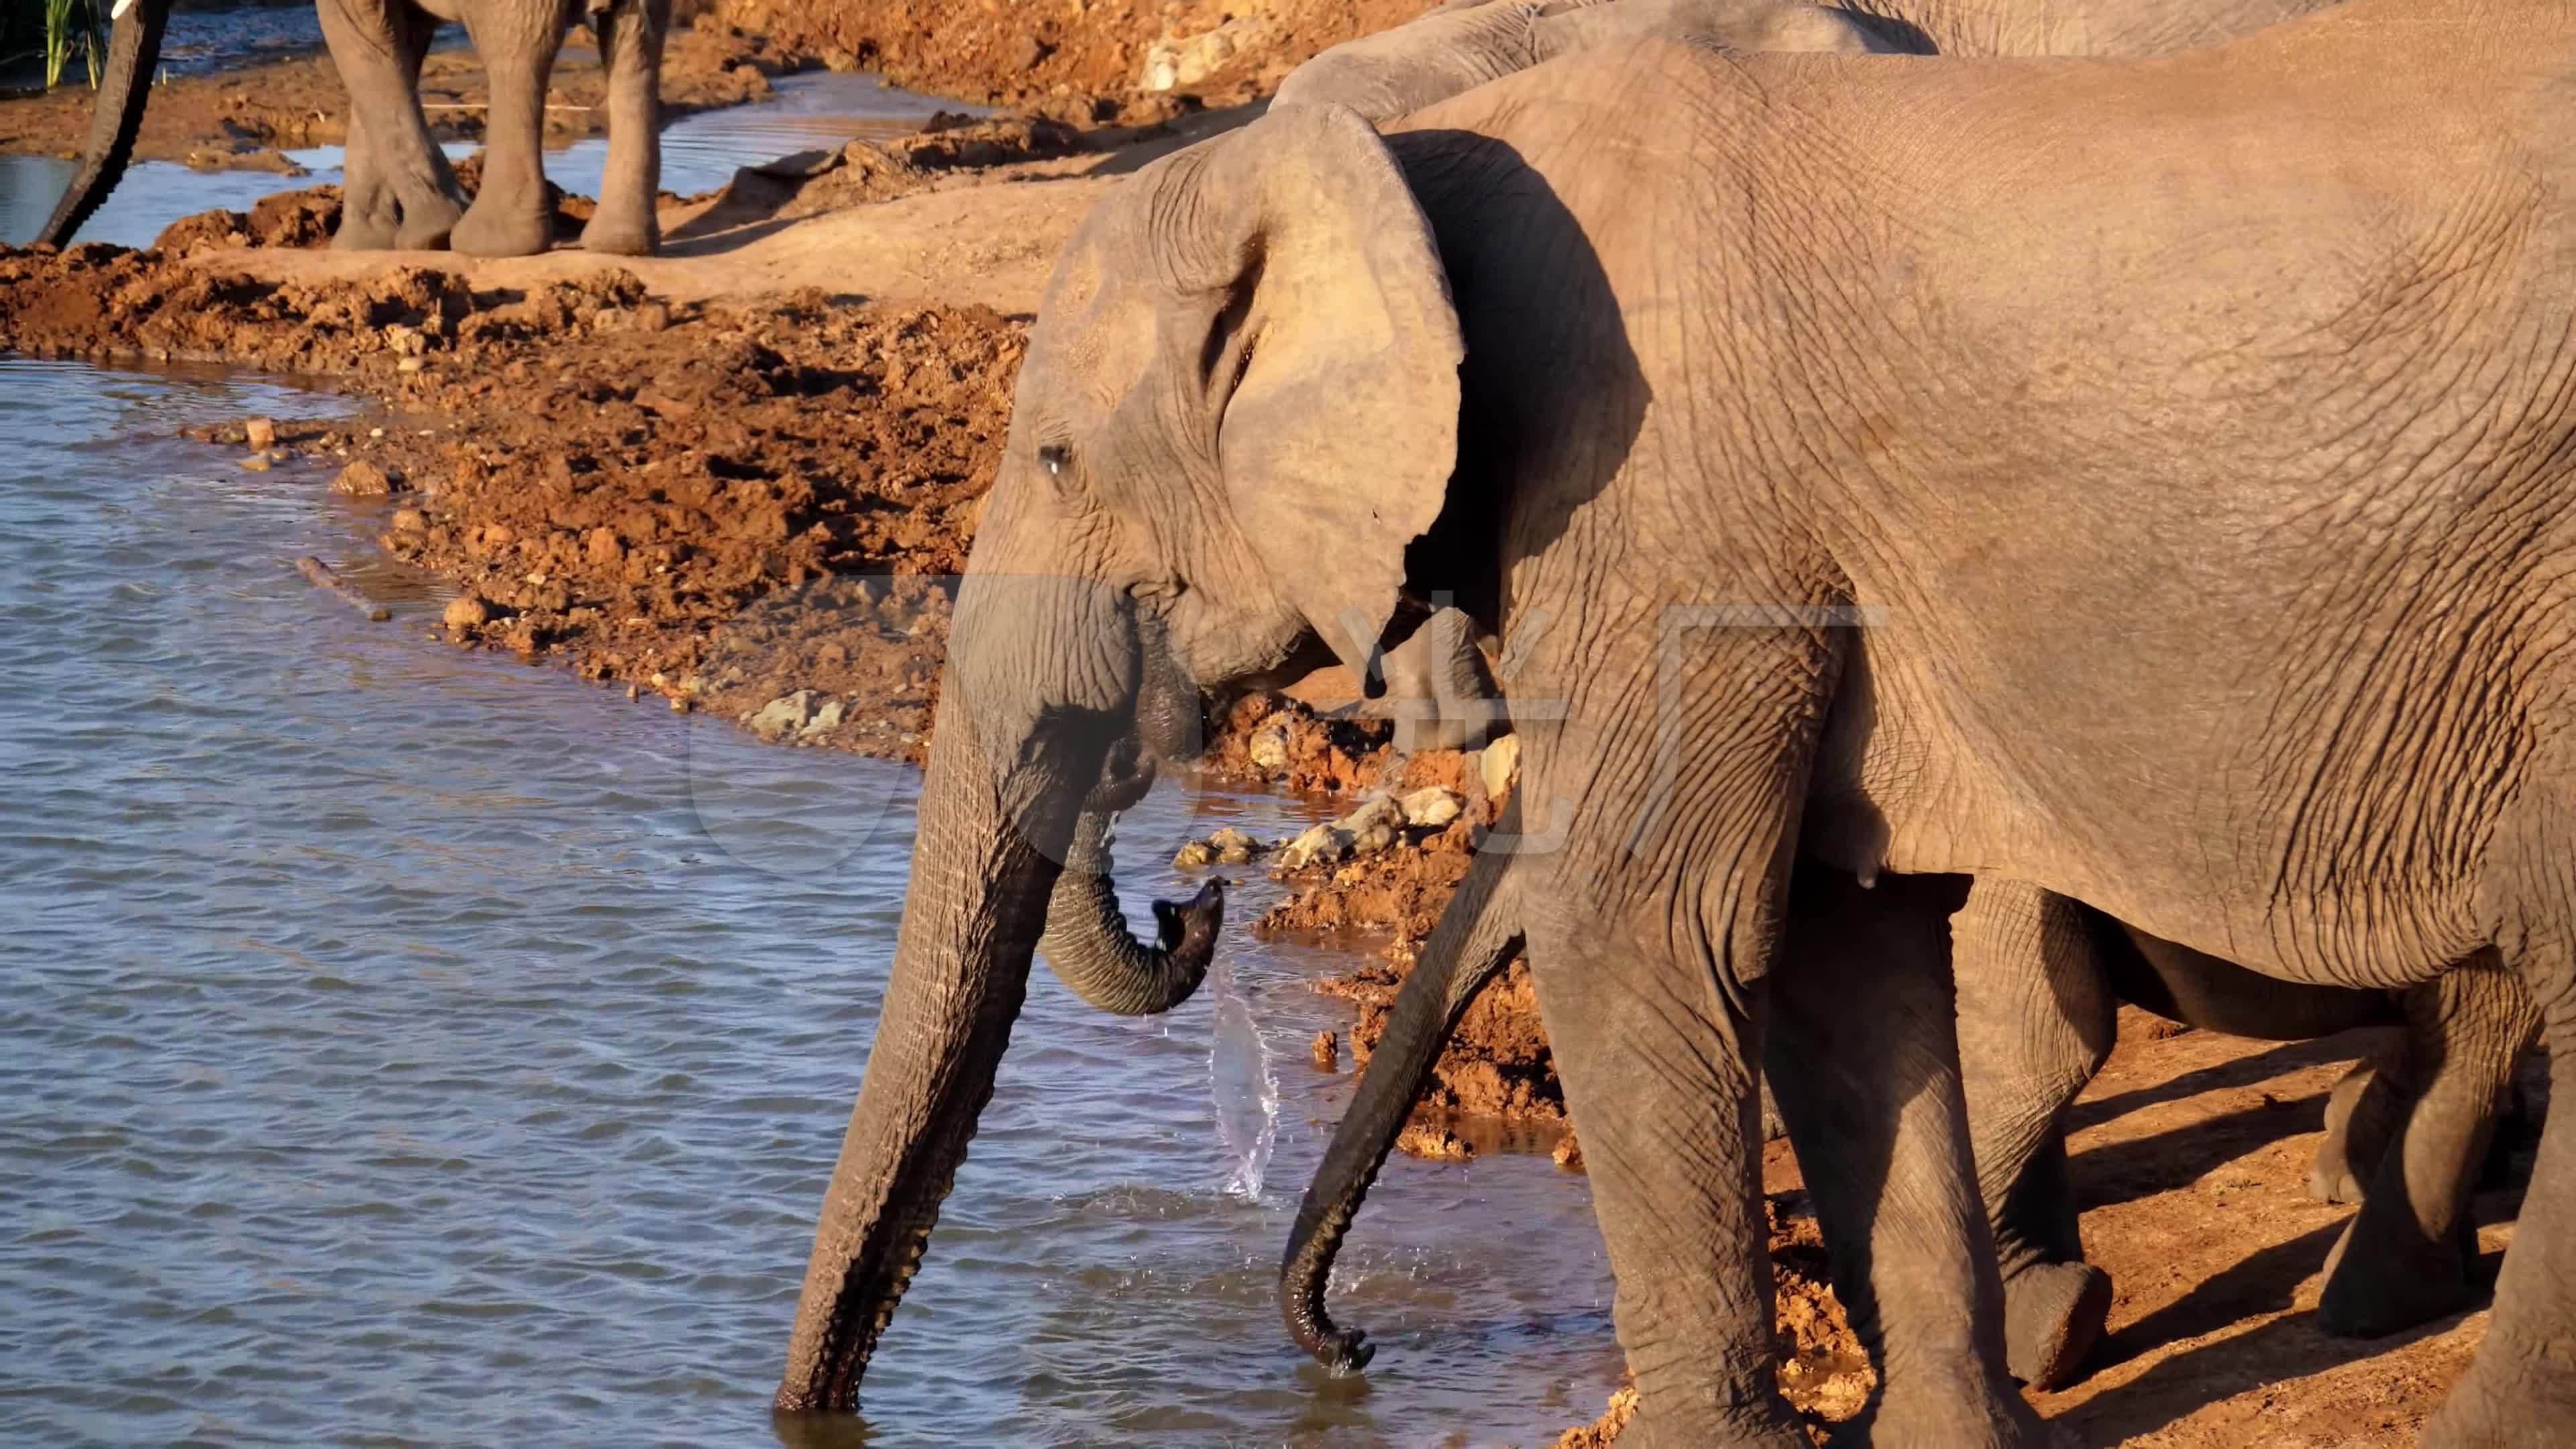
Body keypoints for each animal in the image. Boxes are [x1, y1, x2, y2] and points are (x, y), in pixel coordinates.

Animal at [38, 0, 675, 255]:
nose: (39, 249)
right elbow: (394, 49)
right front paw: (363, 245)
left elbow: (357, 40)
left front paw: (425, 238)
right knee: (638, 43)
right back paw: (623, 245)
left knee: (517, 55)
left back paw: (489, 245)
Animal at [773, 5, 2576, 1433]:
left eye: (1058, 461)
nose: (1188, 901)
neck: (1420, 152)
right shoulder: (1798, 554)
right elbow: (1840, 960)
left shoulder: (1666, 505)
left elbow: (1647, 928)